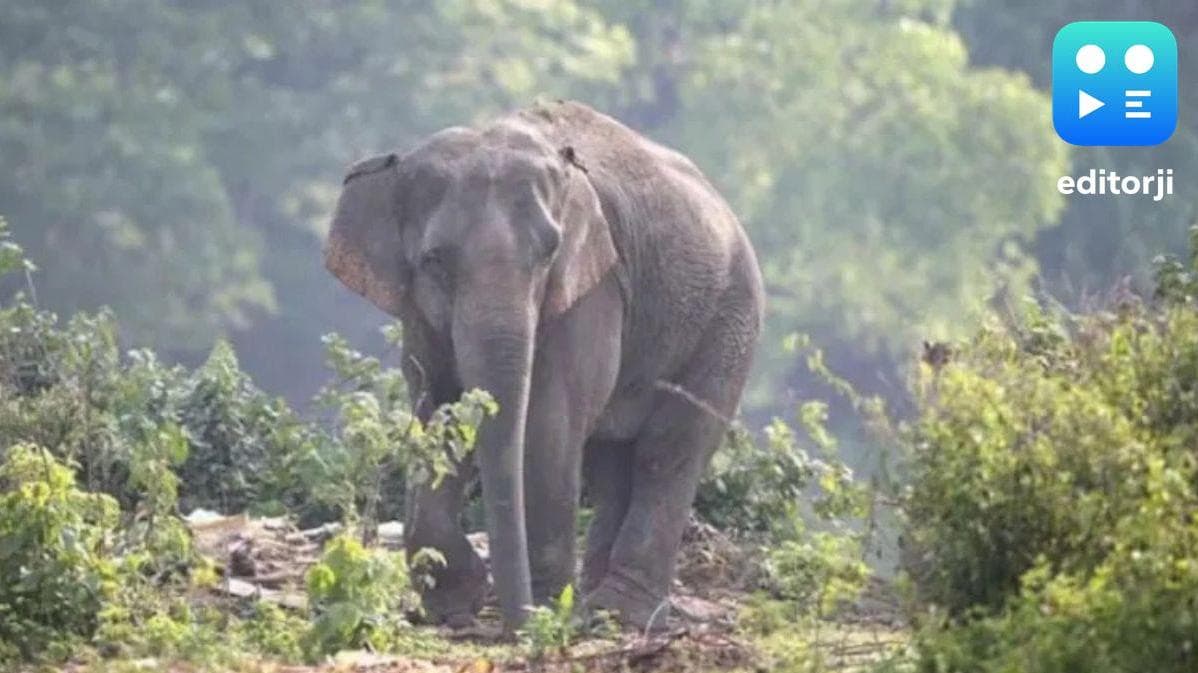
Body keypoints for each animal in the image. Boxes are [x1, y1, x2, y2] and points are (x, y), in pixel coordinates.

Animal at [323, 100, 764, 632]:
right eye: (434, 261)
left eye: (548, 254)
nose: (515, 624)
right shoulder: (418, 311)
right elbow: (437, 413)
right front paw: (455, 605)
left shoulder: (592, 289)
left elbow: (549, 422)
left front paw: (548, 609)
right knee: (611, 463)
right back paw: (596, 608)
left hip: (730, 322)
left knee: (669, 450)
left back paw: (619, 612)